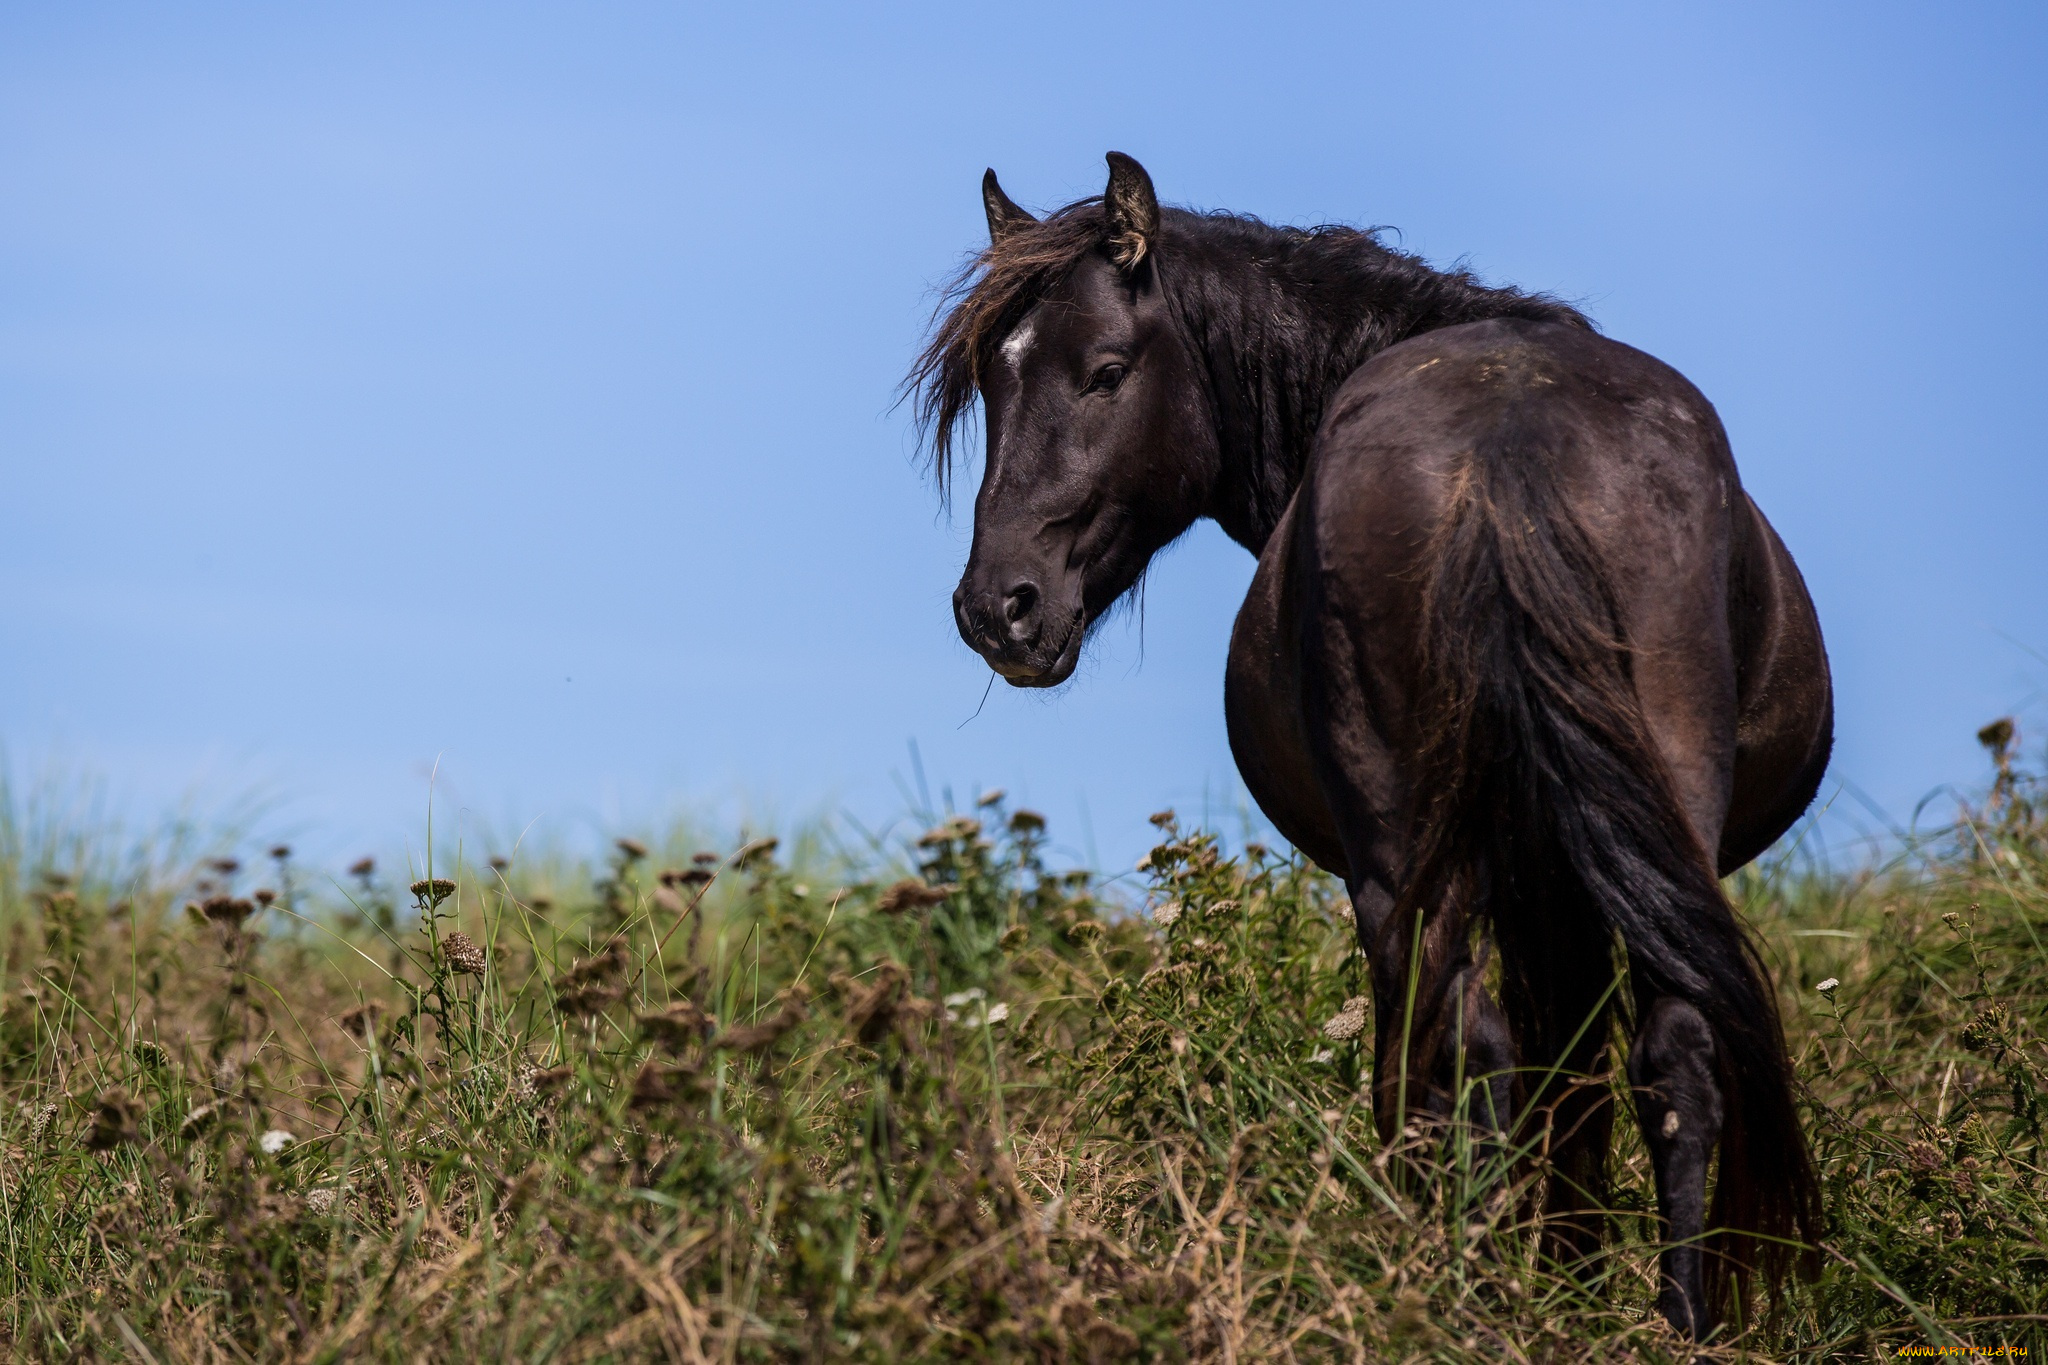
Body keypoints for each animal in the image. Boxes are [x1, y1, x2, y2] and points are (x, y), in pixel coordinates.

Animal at [913, 152, 1826, 1334]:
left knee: (1498, 1058)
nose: (998, 610)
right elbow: (1562, 1070)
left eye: (1106, 372)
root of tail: (1508, 444)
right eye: (992, 384)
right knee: (1616, 1052)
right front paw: (1566, 1276)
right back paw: (1631, 1313)